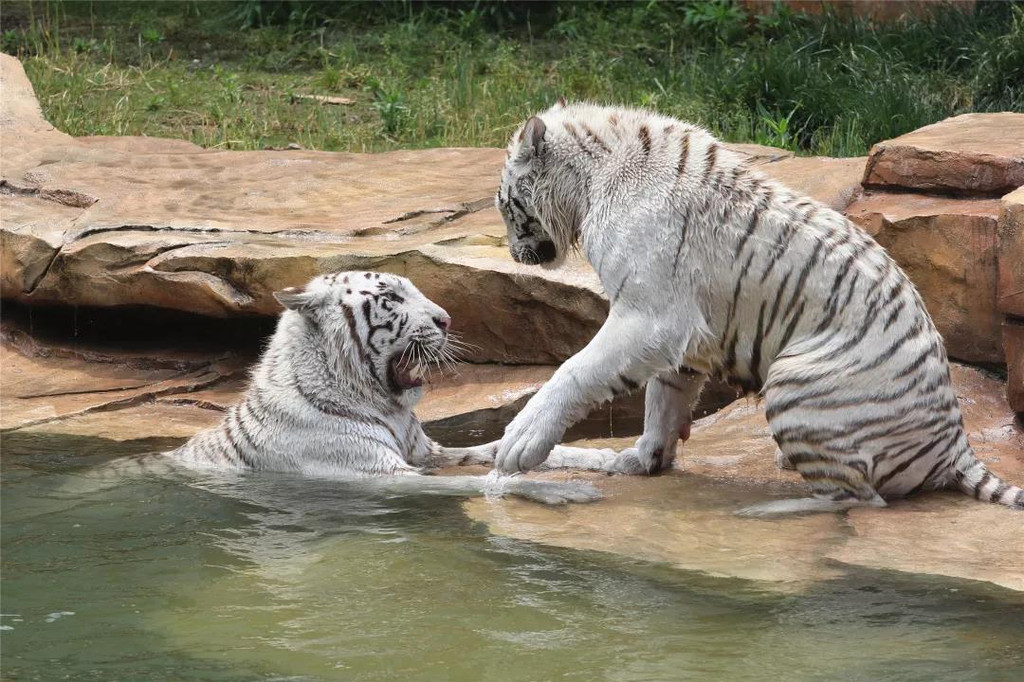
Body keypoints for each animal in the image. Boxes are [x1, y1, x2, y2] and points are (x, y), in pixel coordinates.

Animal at [160, 272, 626, 503]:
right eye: (392, 298)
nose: (446, 319)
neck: (386, 405)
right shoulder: (379, 473)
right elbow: (480, 480)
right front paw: (562, 490)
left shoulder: (427, 453)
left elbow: (494, 451)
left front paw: (605, 457)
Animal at [491, 100, 1019, 512]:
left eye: (505, 204)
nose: (514, 254)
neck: (589, 181)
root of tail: (956, 443)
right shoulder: (680, 336)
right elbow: (663, 402)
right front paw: (641, 460)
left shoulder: (650, 315)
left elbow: (576, 370)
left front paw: (520, 443)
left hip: (794, 377)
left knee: (858, 498)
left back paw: (768, 506)